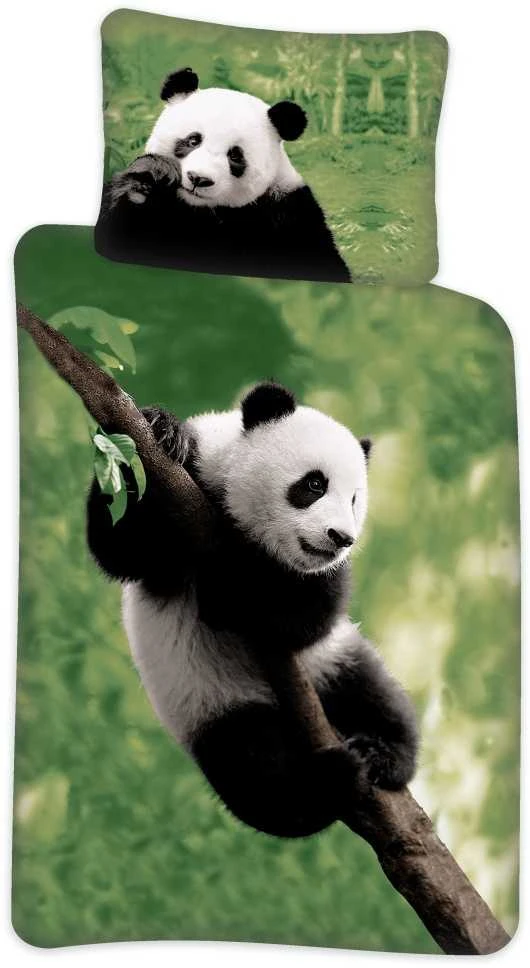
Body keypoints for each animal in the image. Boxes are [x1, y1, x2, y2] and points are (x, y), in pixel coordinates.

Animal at [86, 382, 418, 838]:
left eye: (354, 500)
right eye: (315, 484)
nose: (340, 538)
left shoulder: (319, 580)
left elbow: (308, 617)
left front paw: (231, 590)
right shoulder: (188, 491)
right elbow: (120, 545)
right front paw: (163, 429)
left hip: (330, 665)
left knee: (373, 692)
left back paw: (379, 753)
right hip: (213, 705)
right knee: (256, 770)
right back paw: (327, 780)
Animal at [95, 68, 351, 284]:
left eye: (235, 155)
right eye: (193, 140)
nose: (198, 179)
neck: (201, 210)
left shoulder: (288, 215)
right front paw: (148, 181)